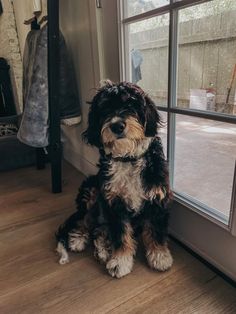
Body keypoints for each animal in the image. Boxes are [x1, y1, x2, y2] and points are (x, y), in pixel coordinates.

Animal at [55, 80, 173, 278]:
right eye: (105, 108)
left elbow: (155, 230)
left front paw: (159, 256)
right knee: (85, 220)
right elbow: (121, 235)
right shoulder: (115, 202)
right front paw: (120, 261)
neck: (128, 159)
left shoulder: (156, 197)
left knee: (100, 229)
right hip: (91, 189)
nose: (117, 125)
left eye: (131, 104)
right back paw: (78, 239)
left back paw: (102, 249)